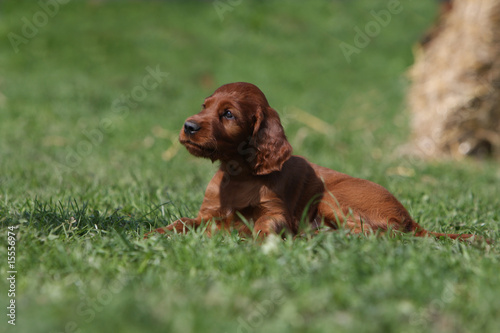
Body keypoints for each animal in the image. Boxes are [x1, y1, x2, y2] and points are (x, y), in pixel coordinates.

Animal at [147, 81, 480, 240]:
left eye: (228, 114)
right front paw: (151, 235)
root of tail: (411, 220)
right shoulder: (207, 214)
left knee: (370, 233)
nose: (189, 126)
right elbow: (180, 222)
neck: (239, 173)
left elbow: (263, 227)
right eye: (204, 106)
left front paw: (258, 244)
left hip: (331, 196)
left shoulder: (276, 212)